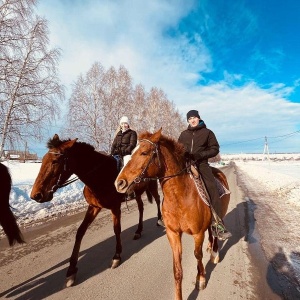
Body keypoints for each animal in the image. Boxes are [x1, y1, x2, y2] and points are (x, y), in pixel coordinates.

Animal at [29, 135, 164, 288]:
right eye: (43, 160)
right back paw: (138, 231)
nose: (36, 195)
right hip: (138, 194)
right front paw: (71, 270)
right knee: (141, 207)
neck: (100, 175)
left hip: (152, 185)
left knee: (158, 200)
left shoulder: (115, 207)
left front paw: (117, 256)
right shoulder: (93, 207)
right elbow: (80, 232)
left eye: (55, 161)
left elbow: (116, 229)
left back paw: (159, 220)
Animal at [115, 129, 230, 300]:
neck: (180, 197)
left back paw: (215, 253)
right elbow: (177, 270)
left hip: (219, 214)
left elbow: (198, 255)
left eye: (144, 152)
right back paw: (210, 247)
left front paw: (201, 279)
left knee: (215, 233)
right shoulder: (173, 233)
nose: (119, 183)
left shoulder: (197, 233)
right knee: (211, 231)